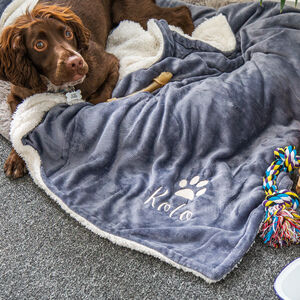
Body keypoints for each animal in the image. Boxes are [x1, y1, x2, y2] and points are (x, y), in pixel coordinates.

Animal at [0, 0, 195, 178]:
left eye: (68, 33)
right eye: (39, 45)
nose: (76, 62)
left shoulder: (110, 62)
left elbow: (100, 97)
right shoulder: (17, 94)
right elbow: (15, 127)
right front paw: (16, 159)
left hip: (131, 13)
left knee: (182, 11)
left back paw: (189, 37)